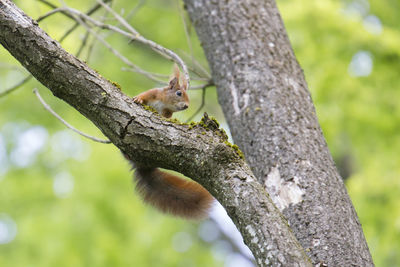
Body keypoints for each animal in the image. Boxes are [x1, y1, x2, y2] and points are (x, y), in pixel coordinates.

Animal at [130, 66, 214, 220]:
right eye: (179, 93)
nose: (186, 106)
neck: (164, 102)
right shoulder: (153, 93)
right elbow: (143, 95)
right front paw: (138, 99)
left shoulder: (167, 112)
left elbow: (167, 116)